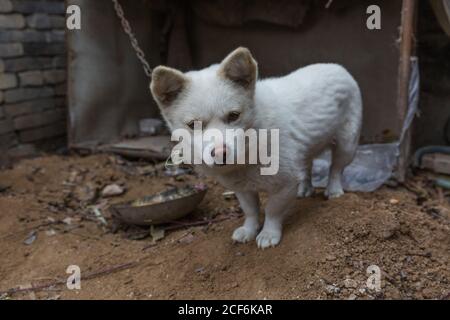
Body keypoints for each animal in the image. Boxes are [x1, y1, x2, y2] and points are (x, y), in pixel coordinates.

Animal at [151, 47, 362, 249]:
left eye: (234, 116)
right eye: (193, 124)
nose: (220, 153)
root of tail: (336, 66)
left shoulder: (284, 185)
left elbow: (272, 211)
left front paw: (269, 234)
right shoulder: (243, 189)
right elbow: (251, 211)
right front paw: (249, 230)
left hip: (347, 146)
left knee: (336, 168)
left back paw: (333, 190)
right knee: (306, 165)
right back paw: (305, 188)